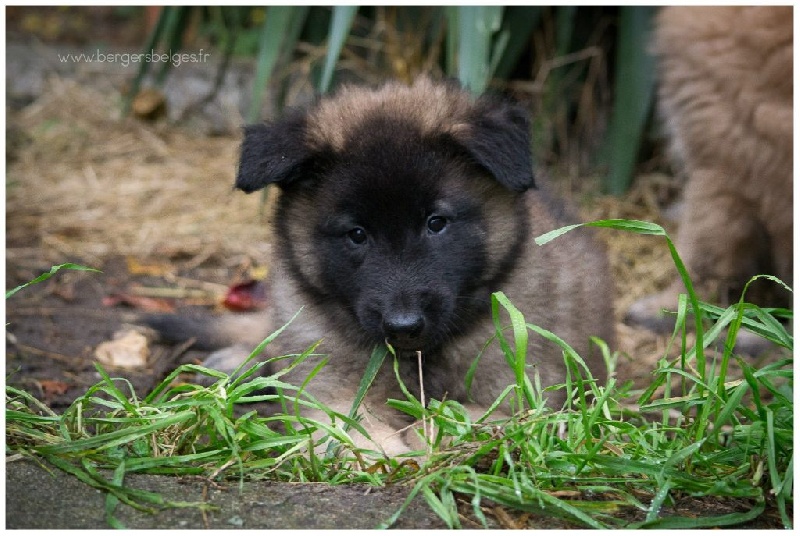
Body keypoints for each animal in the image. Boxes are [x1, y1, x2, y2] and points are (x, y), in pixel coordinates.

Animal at [148, 78, 615, 455]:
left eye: (436, 223)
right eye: (357, 234)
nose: (403, 325)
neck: (419, 358)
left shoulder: (523, 397)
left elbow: (455, 415)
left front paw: (426, 442)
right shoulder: (328, 388)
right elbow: (351, 428)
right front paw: (387, 454)